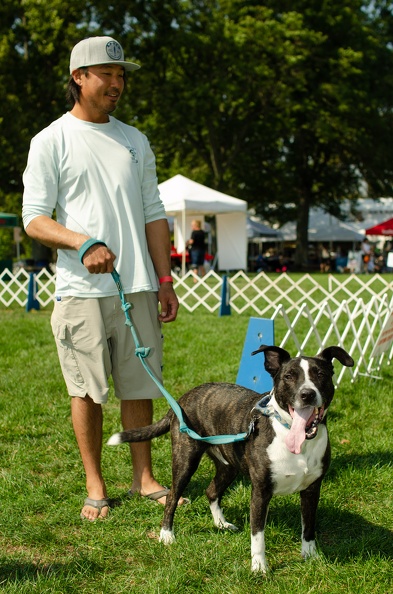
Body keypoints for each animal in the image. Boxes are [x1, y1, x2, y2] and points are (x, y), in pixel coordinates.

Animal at [107, 344, 352, 572]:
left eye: (320, 374)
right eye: (289, 377)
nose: (307, 394)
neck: (292, 435)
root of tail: (182, 399)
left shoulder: (312, 489)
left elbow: (308, 527)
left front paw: (311, 556)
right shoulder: (260, 492)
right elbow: (258, 535)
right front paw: (259, 568)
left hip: (228, 466)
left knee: (211, 491)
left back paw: (221, 524)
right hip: (185, 460)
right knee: (172, 497)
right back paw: (166, 535)